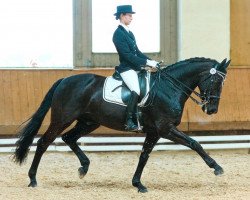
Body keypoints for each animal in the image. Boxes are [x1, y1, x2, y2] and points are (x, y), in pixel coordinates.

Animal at [13, 56, 230, 192]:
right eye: (216, 82)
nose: (212, 110)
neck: (169, 88)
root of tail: (65, 79)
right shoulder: (166, 129)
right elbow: (195, 143)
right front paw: (217, 167)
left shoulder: (154, 132)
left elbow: (144, 156)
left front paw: (138, 184)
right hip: (62, 119)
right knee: (43, 143)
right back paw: (33, 179)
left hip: (89, 122)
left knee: (69, 138)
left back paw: (84, 167)